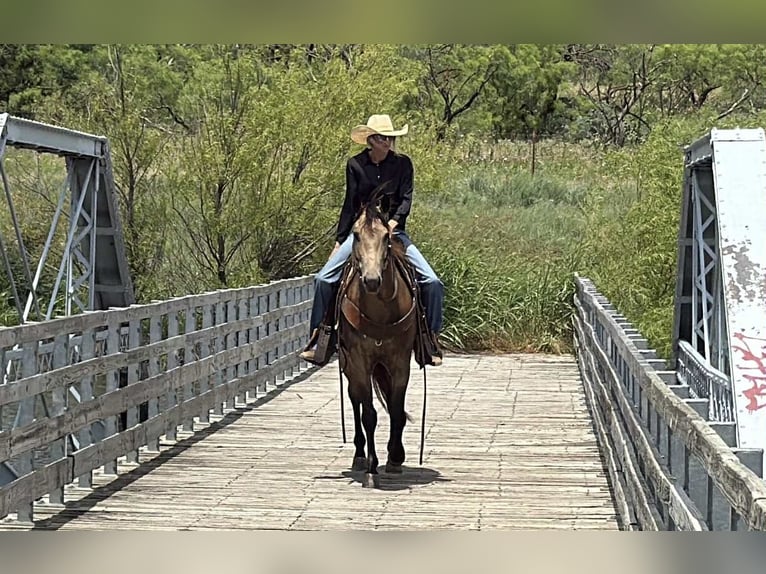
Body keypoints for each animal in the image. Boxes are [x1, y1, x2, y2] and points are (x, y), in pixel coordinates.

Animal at [335, 195, 422, 488]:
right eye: (355, 234)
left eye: (386, 236)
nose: (372, 281)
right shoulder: (359, 361)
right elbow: (369, 414)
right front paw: (372, 469)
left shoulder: (399, 361)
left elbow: (396, 408)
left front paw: (395, 458)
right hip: (351, 367)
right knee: (356, 400)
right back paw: (360, 455)